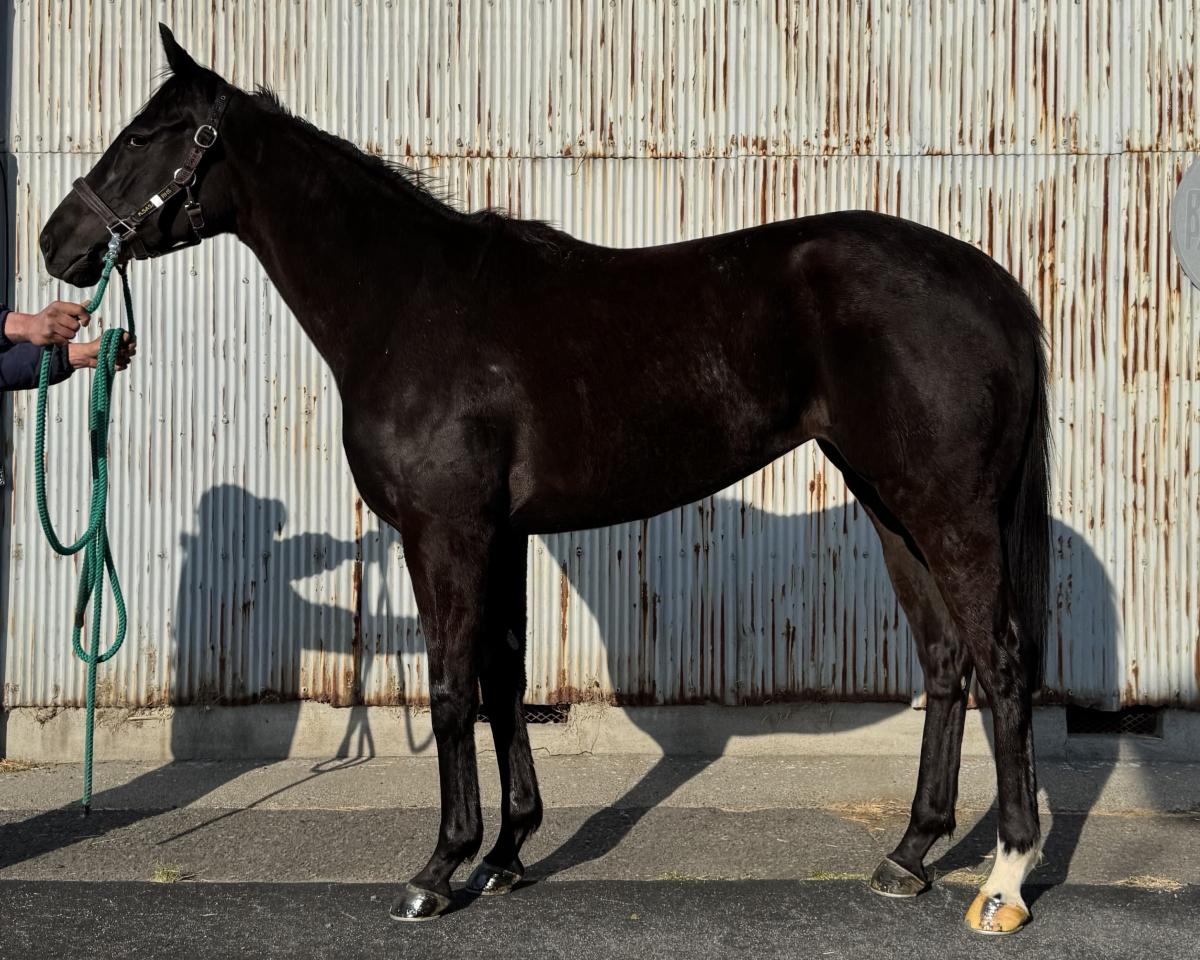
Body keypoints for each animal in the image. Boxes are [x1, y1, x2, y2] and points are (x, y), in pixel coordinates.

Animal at [39, 26, 1050, 935]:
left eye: (146, 134)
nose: (58, 242)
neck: (408, 305)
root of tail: (994, 286)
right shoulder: (503, 534)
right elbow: (503, 680)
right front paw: (506, 853)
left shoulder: (445, 532)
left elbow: (451, 687)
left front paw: (438, 870)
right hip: (891, 508)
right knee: (947, 660)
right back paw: (908, 857)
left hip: (947, 511)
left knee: (1001, 660)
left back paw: (1003, 880)